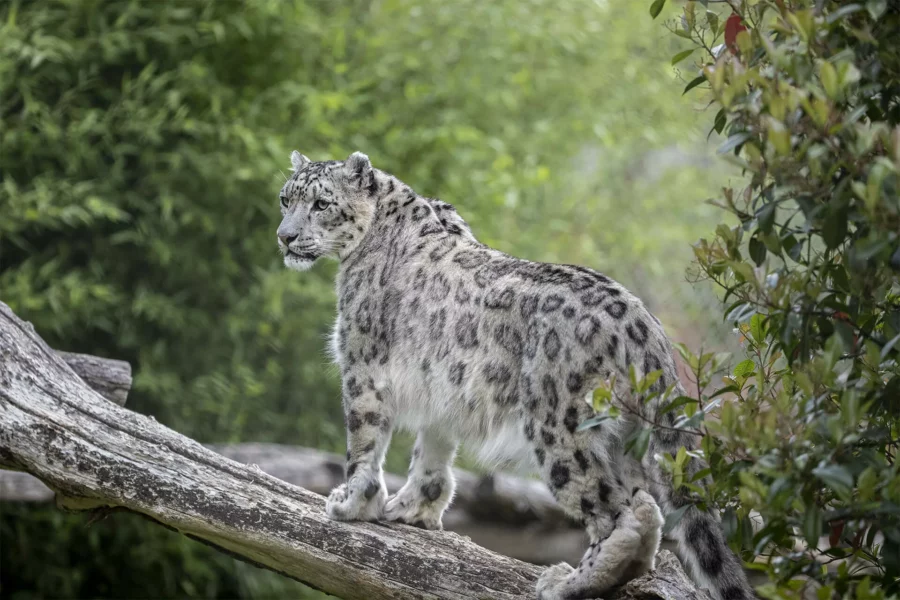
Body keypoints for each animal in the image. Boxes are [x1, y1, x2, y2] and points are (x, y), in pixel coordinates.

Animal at [274, 151, 752, 600]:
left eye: (321, 203)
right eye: (285, 199)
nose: (285, 236)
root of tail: (643, 324)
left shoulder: (362, 367)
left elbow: (363, 443)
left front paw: (353, 502)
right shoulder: (442, 386)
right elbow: (432, 452)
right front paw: (411, 508)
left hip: (560, 429)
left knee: (617, 513)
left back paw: (567, 582)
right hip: (625, 440)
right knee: (646, 505)